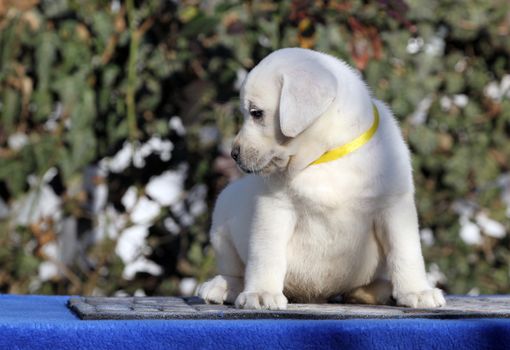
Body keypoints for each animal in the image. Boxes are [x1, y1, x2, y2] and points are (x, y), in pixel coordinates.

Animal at [197, 47, 444, 308]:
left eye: (256, 113)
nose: (234, 154)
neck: (326, 157)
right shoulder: (274, 210)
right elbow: (266, 254)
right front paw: (261, 292)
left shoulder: (394, 207)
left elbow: (406, 252)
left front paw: (416, 291)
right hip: (223, 214)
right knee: (235, 271)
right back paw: (224, 286)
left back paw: (379, 291)